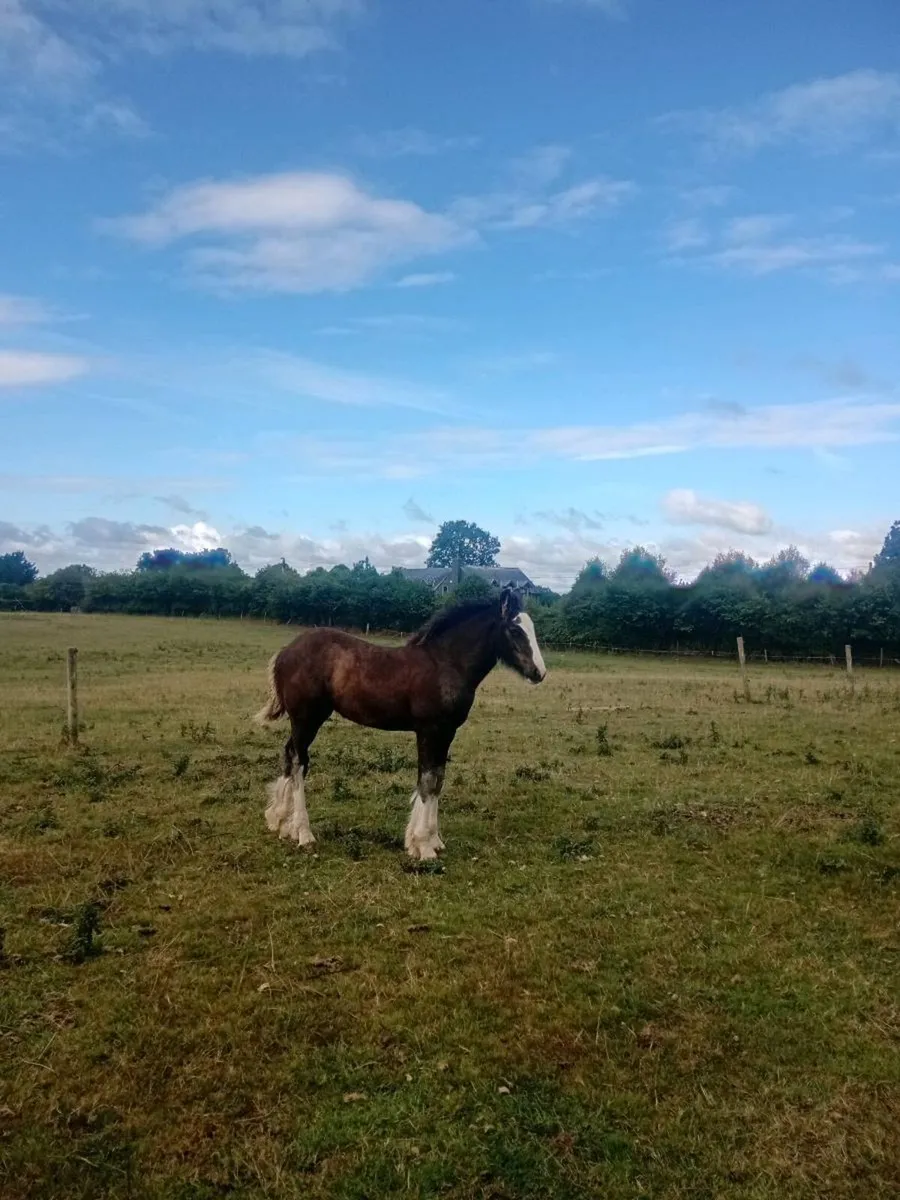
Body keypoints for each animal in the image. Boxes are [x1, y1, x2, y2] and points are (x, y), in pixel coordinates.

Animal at [254, 586, 547, 860]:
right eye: (515, 629)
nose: (539, 673)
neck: (445, 663)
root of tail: (285, 652)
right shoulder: (430, 730)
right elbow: (427, 781)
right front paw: (423, 846)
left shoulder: (446, 733)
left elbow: (438, 779)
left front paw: (434, 841)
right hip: (307, 719)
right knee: (299, 763)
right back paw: (303, 833)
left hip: (303, 721)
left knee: (289, 755)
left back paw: (281, 823)